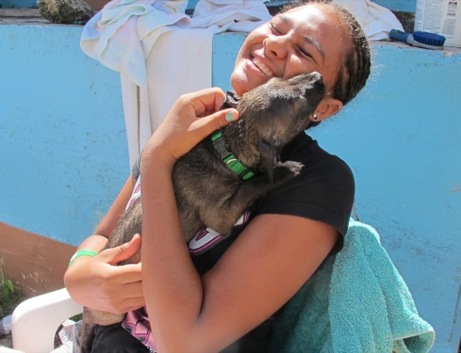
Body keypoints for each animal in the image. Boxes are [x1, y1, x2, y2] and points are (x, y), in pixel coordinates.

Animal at [79, 70, 326, 350]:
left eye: (281, 78)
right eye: (296, 103)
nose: (317, 76)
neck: (227, 148)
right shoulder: (220, 214)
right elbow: (250, 185)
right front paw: (285, 170)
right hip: (110, 312)